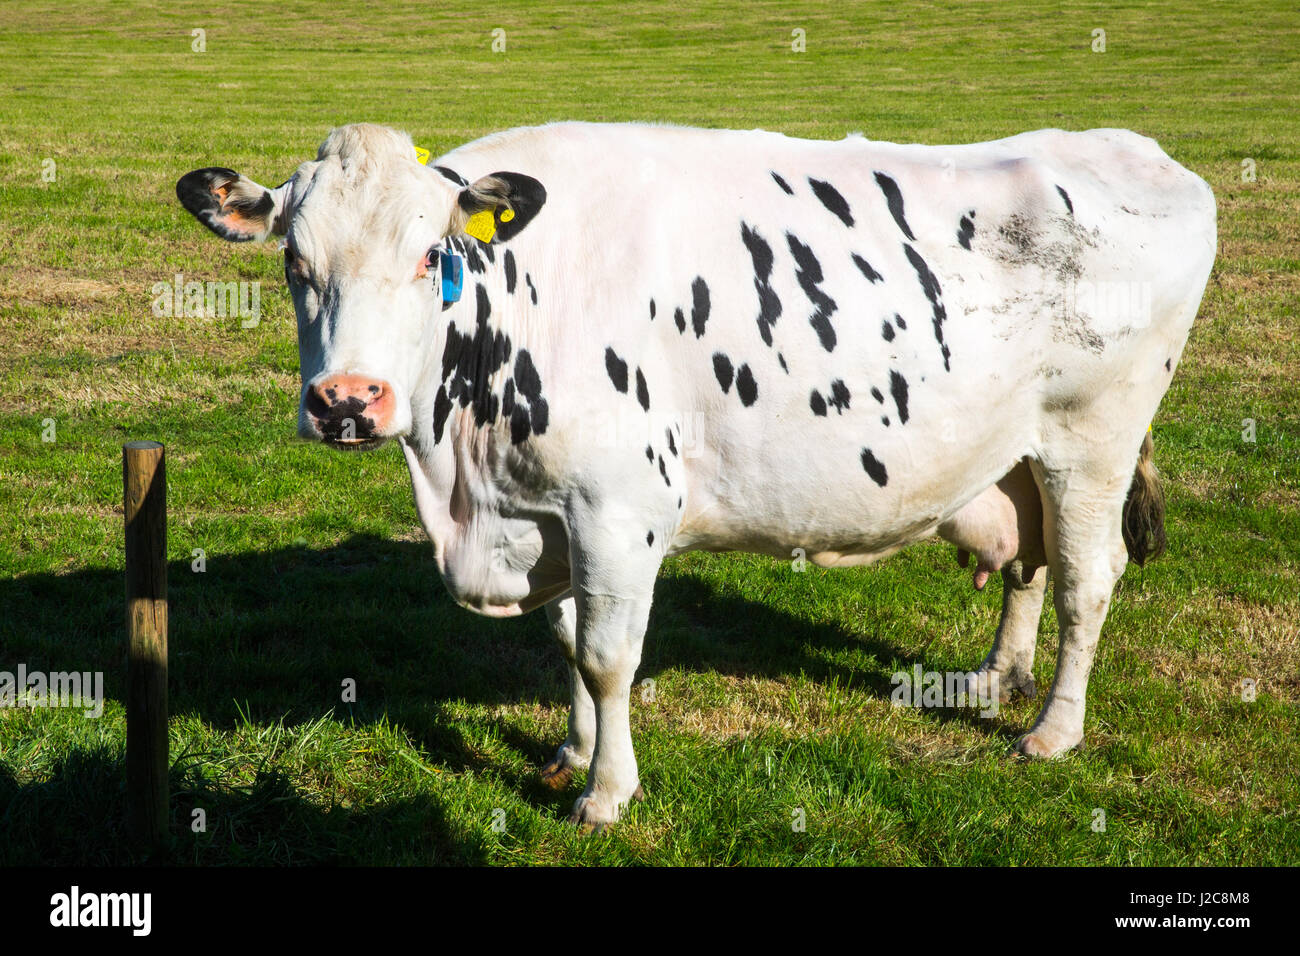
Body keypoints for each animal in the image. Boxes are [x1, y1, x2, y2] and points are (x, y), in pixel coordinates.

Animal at [175, 123, 1216, 832]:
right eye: (294, 259)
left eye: (431, 253)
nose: (347, 399)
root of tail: (1139, 150)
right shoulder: (554, 514)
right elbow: (568, 644)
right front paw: (570, 752)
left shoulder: (618, 507)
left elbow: (607, 658)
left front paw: (607, 793)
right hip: (1019, 453)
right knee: (1029, 567)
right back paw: (999, 676)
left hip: (1093, 438)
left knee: (1087, 581)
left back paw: (1053, 730)